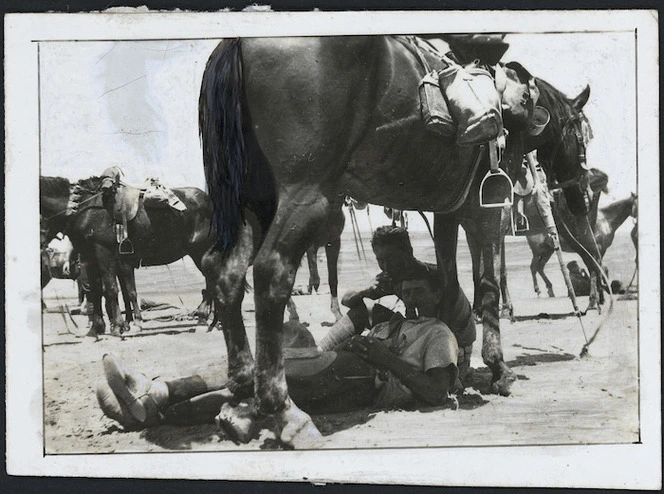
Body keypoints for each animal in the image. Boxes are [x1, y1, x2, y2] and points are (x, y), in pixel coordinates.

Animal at [39, 175, 215, 336]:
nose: (42, 250)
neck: (86, 208)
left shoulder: (104, 252)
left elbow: (111, 289)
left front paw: (118, 326)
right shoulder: (90, 256)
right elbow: (98, 290)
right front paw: (98, 328)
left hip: (201, 251)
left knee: (211, 281)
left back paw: (203, 319)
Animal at [197, 36, 592, 446]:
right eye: (581, 132)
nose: (581, 192)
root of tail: (238, 44)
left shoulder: (448, 211)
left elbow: (449, 281)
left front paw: (458, 363)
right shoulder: (489, 211)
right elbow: (487, 287)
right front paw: (499, 370)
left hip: (253, 201)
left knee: (225, 275)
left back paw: (242, 396)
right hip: (305, 193)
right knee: (272, 271)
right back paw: (285, 411)